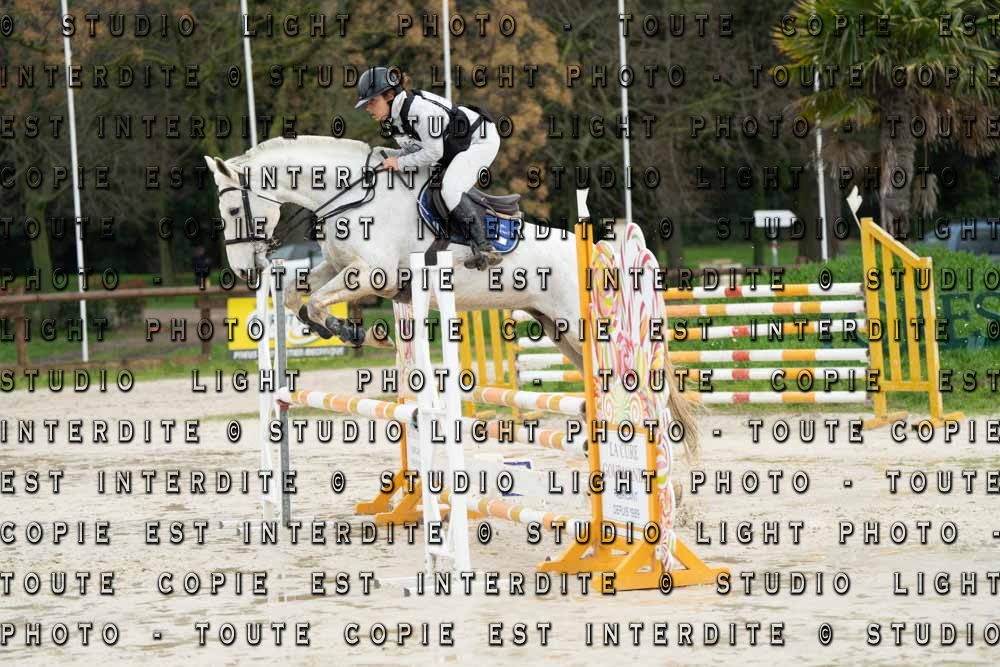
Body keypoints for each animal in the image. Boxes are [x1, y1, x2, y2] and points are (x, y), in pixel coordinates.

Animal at [204, 135, 700, 459]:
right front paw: (337, 329)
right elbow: (296, 296)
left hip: (584, 327)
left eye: (230, 209)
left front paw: (351, 330)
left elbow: (315, 301)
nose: (245, 271)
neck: (354, 198)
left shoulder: (375, 274)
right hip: (560, 331)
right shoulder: (339, 267)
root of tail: (600, 253)